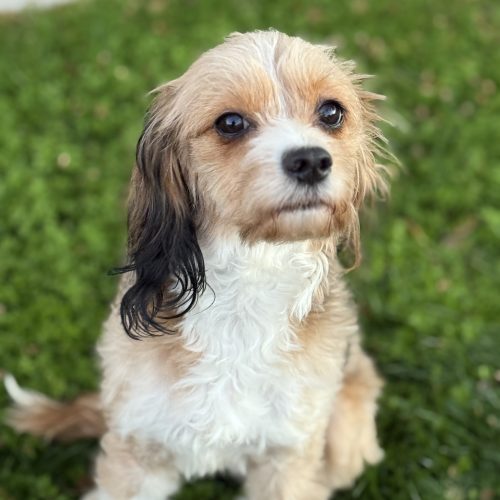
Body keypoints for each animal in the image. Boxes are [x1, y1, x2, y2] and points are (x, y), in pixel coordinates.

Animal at [5, 30, 391, 499]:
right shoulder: (137, 451)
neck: (249, 279)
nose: (312, 161)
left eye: (332, 112)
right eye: (230, 123)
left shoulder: (289, 457)